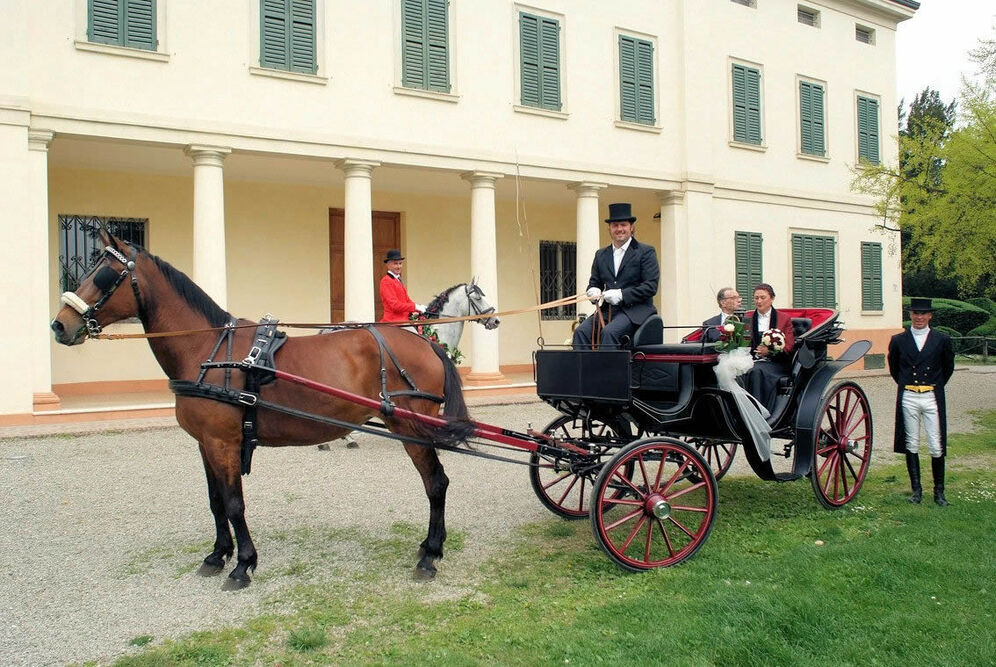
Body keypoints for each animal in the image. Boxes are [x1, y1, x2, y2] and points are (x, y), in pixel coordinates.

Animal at [48, 230, 476, 588]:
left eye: (105, 274)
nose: (59, 325)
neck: (208, 351)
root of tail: (426, 345)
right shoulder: (206, 443)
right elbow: (215, 501)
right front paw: (218, 554)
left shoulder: (222, 442)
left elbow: (234, 503)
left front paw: (242, 564)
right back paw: (429, 547)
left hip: (412, 428)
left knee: (436, 483)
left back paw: (430, 555)